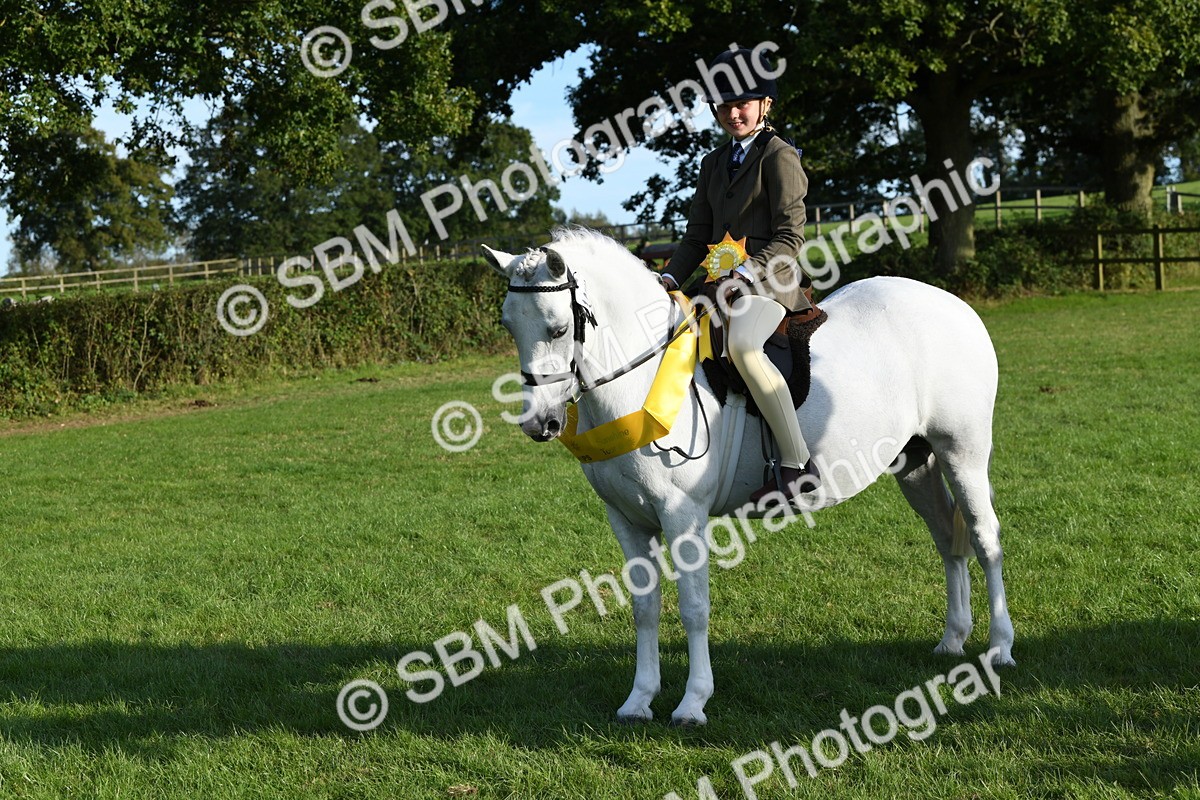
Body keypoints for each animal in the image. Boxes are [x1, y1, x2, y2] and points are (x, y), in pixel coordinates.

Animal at [481, 227, 1014, 726]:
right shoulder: (627, 519)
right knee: (947, 539)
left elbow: (694, 608)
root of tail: (955, 306)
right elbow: (644, 608)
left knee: (984, 538)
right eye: (509, 325)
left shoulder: (683, 516)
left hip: (962, 451)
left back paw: (999, 648)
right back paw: (952, 640)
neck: (644, 381)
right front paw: (639, 700)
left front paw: (693, 703)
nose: (539, 423)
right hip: (916, 462)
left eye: (556, 328)